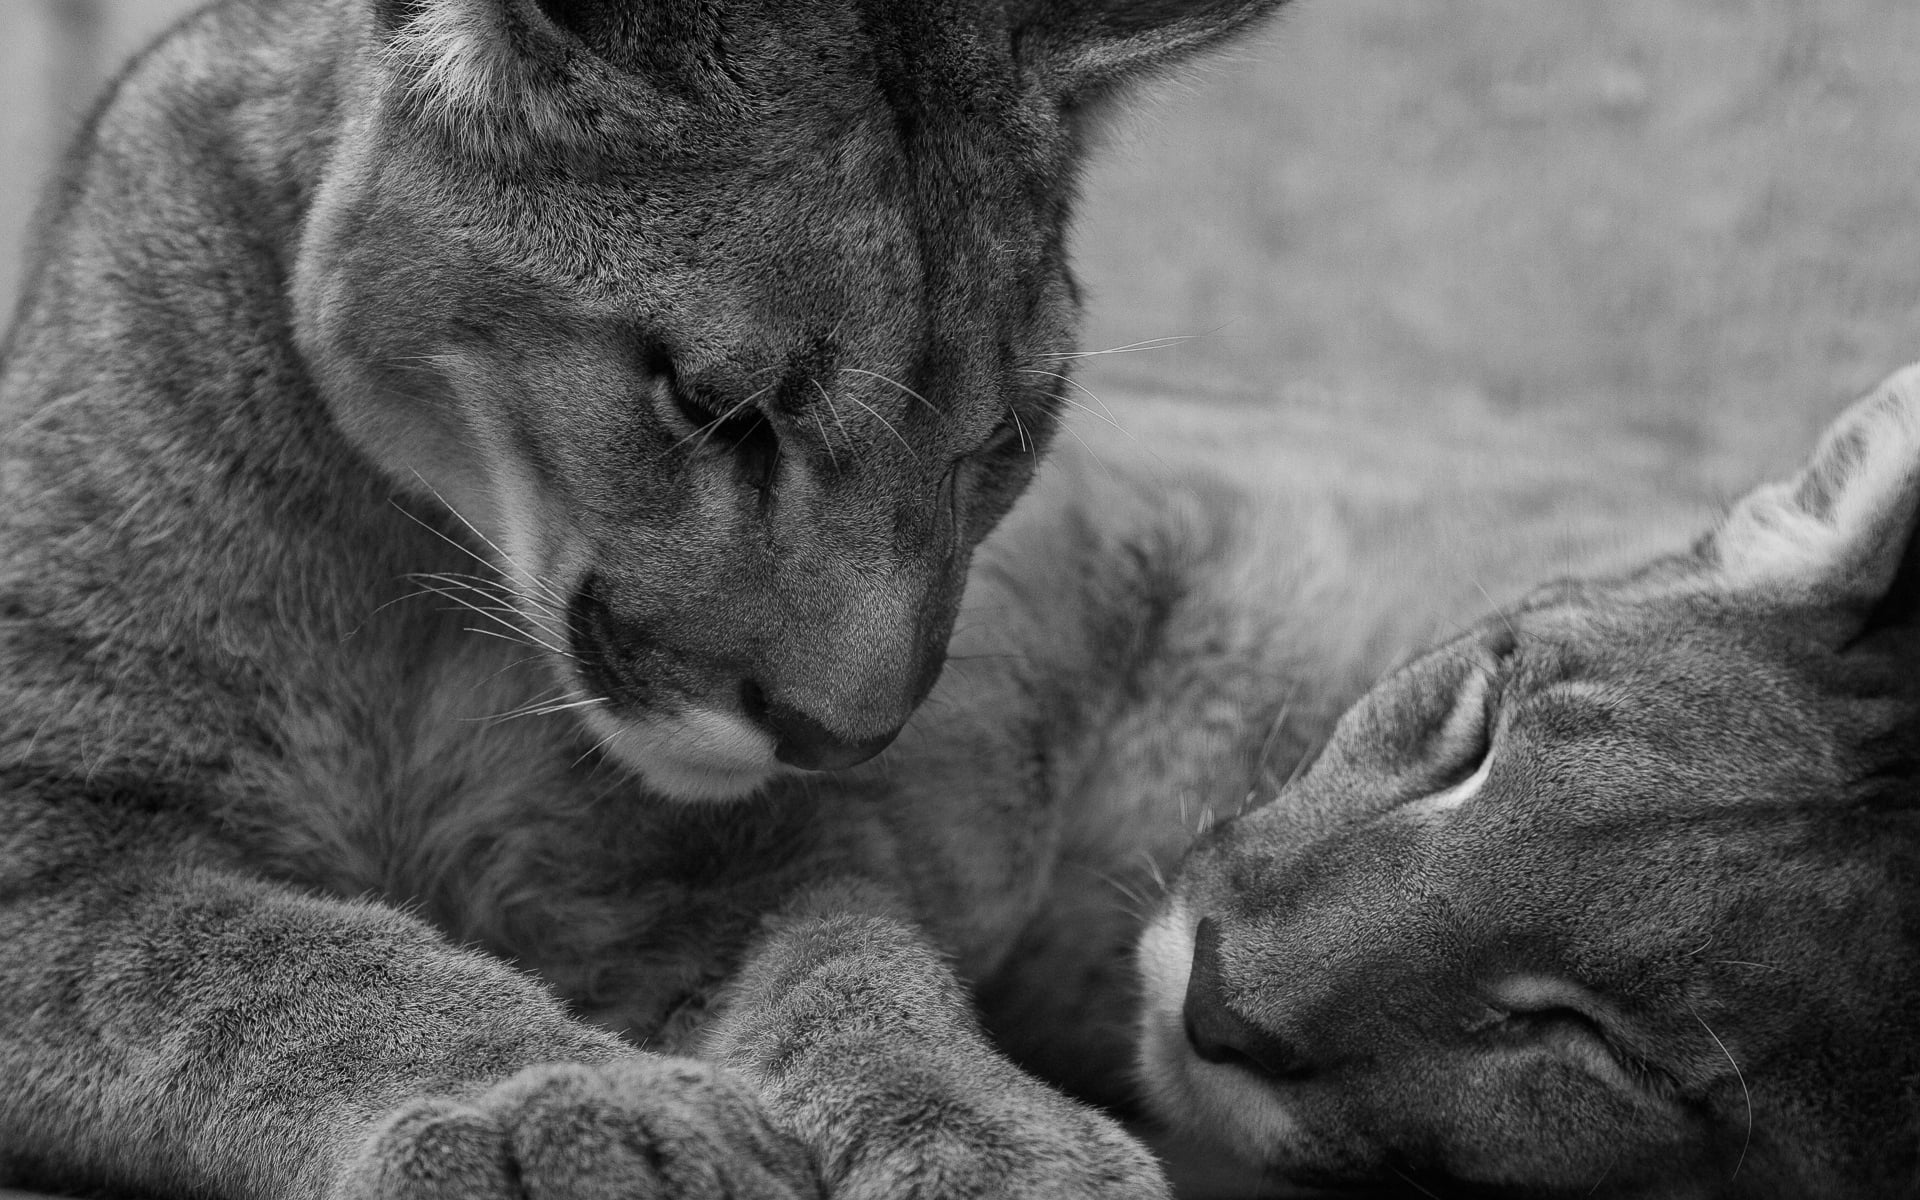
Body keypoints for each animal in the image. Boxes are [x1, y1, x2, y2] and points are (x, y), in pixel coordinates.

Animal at [0, 0, 1286, 1195]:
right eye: (716, 406)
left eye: (1001, 442)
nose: (846, 737)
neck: (429, 596)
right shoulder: (55, 818)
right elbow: (304, 970)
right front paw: (562, 1107)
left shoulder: (744, 856)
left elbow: (856, 964)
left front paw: (984, 1122)